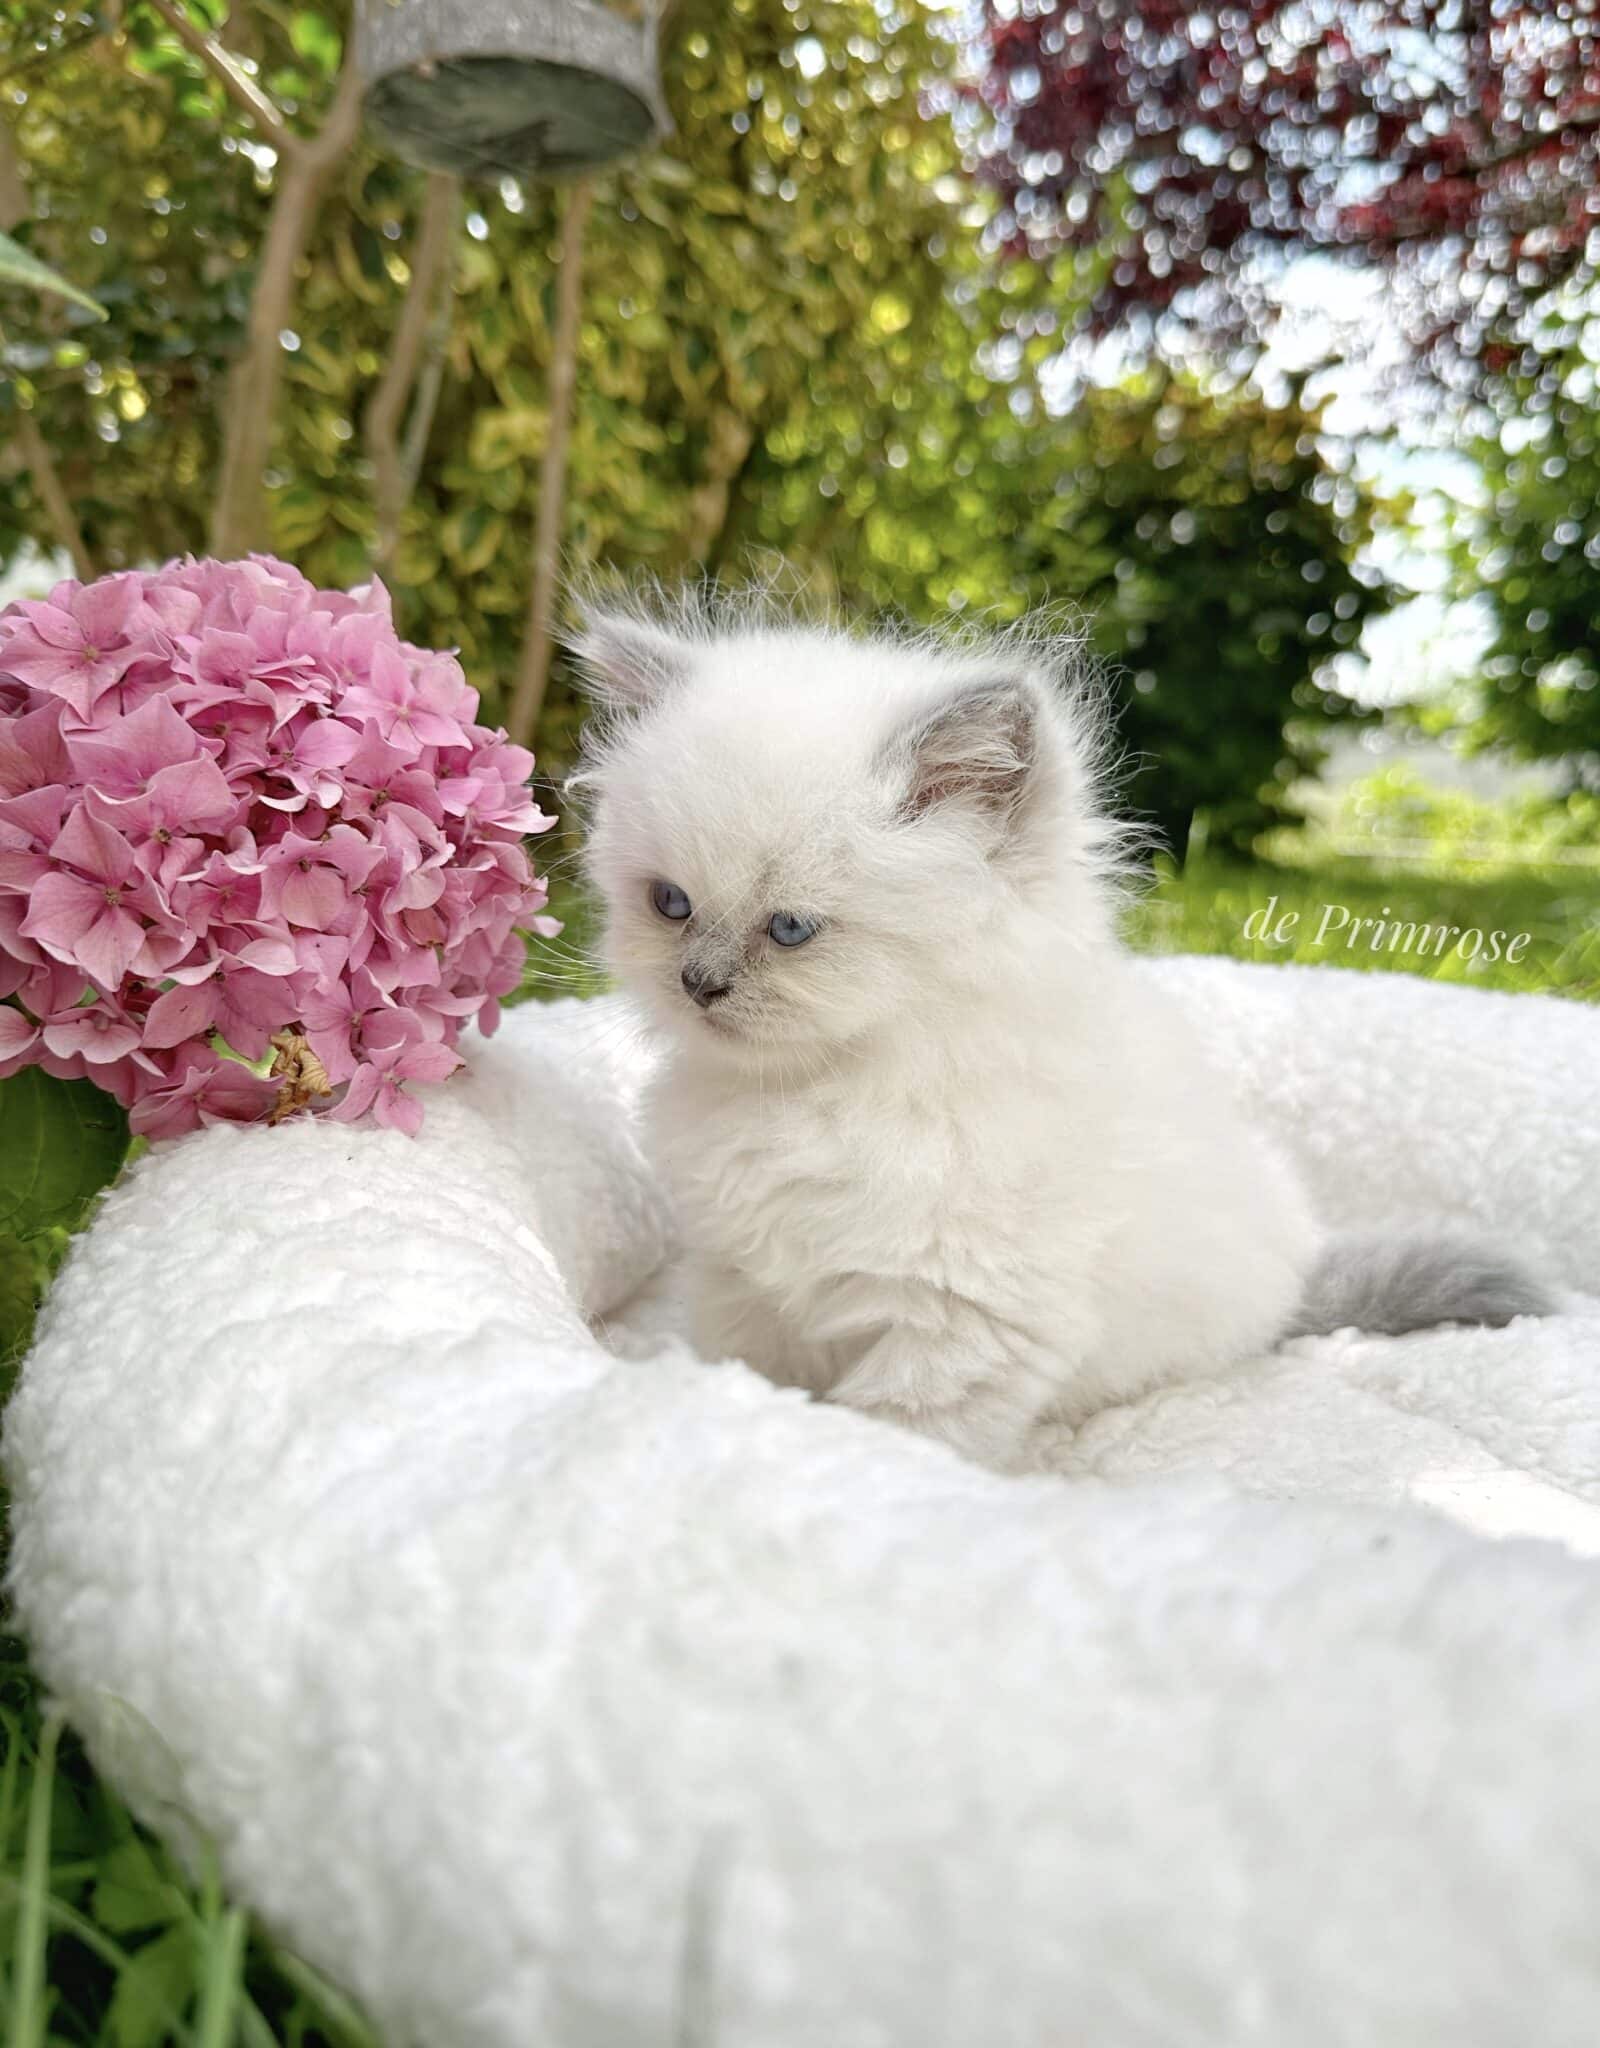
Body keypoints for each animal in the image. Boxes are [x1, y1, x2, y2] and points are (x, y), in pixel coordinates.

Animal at [573, 598, 1548, 1466]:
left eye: (790, 929)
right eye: (671, 904)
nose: (698, 984)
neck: (821, 1096)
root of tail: (1302, 1267)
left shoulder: (964, 1325)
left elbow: (893, 1442)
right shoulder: (742, 1283)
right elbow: (748, 1377)